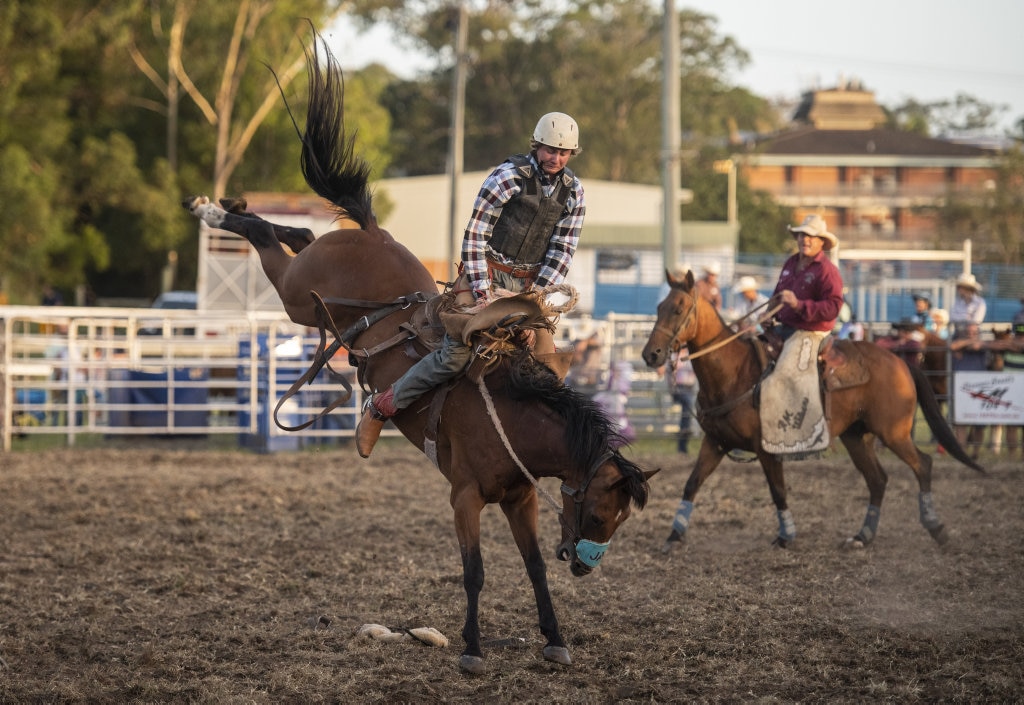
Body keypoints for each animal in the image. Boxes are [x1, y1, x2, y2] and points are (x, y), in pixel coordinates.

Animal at [638, 270, 983, 549]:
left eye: (678, 309)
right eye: (658, 308)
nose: (650, 355)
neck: (734, 372)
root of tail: (900, 362)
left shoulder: (766, 449)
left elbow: (778, 490)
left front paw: (786, 535)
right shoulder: (715, 443)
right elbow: (691, 484)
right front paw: (674, 536)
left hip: (894, 432)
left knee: (922, 465)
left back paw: (936, 527)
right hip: (857, 437)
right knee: (877, 479)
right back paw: (862, 536)